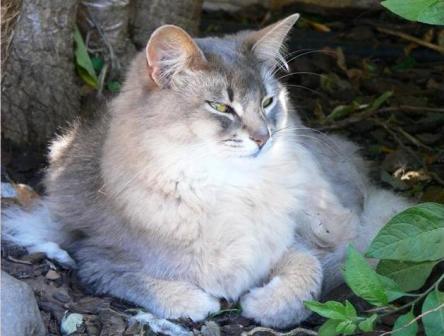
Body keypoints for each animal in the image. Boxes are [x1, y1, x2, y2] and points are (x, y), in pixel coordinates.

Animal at [1, 13, 412, 328]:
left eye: (267, 101)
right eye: (221, 107)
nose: (263, 138)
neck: (224, 186)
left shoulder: (289, 243)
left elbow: (308, 273)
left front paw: (265, 304)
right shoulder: (95, 255)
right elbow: (143, 283)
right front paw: (196, 301)